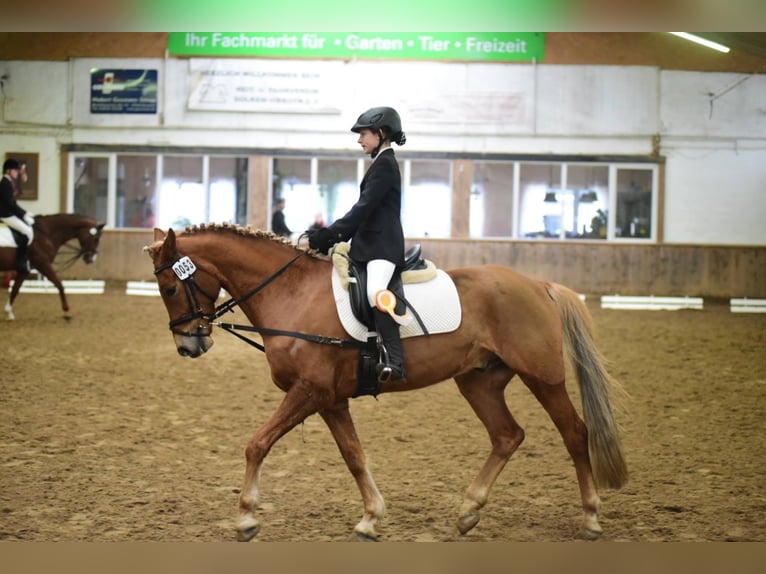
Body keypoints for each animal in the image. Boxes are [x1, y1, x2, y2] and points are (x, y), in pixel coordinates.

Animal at [148, 225, 632, 544]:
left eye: (169, 287)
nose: (189, 345)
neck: (292, 294)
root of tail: (538, 284)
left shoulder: (309, 391)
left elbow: (257, 443)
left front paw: (247, 518)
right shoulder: (329, 398)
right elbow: (354, 455)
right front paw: (370, 518)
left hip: (542, 376)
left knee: (575, 433)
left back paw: (591, 518)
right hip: (479, 381)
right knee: (507, 435)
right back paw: (468, 512)